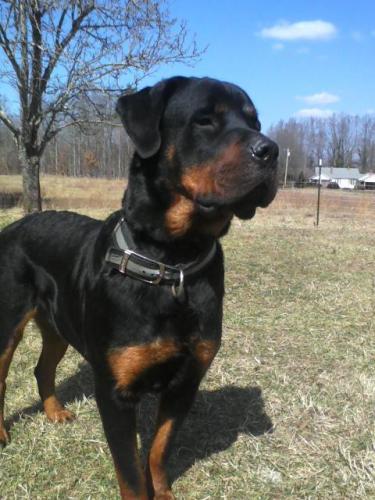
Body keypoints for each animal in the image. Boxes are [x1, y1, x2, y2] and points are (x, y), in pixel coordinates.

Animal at [0, 76, 280, 498]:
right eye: (204, 120)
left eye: (255, 122)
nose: (271, 150)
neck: (172, 261)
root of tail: (14, 227)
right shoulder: (115, 393)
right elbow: (130, 470)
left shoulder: (186, 382)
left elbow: (159, 451)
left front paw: (163, 492)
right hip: (6, 325)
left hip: (59, 325)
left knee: (42, 366)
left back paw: (54, 412)